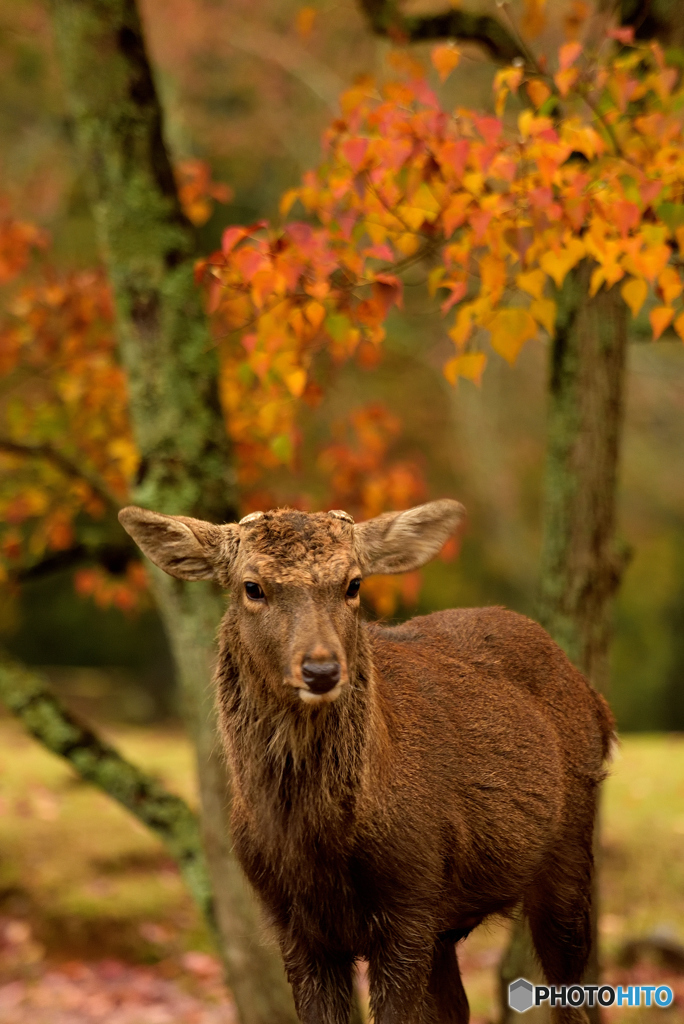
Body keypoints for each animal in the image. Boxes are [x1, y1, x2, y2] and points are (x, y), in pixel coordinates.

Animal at [117, 497, 614, 1024]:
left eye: (353, 583)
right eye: (253, 587)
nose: (320, 669)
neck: (318, 849)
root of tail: (596, 700)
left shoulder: (411, 899)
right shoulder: (292, 923)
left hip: (569, 848)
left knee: (573, 993)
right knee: (457, 1006)